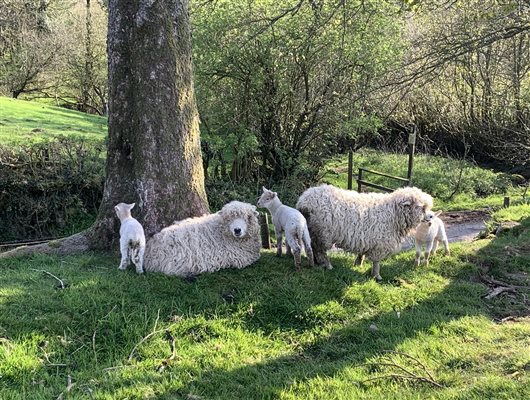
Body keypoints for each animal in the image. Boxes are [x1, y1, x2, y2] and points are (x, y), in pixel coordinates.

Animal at [294, 184, 432, 282]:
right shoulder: (380, 244)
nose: (431, 216)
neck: (393, 213)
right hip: (322, 232)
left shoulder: (365, 239)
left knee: (313, 247)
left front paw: (358, 264)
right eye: (422, 208)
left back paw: (318, 263)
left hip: (314, 231)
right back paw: (327, 265)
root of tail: (303, 201)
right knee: (320, 250)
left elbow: (362, 253)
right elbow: (376, 262)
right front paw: (376, 276)